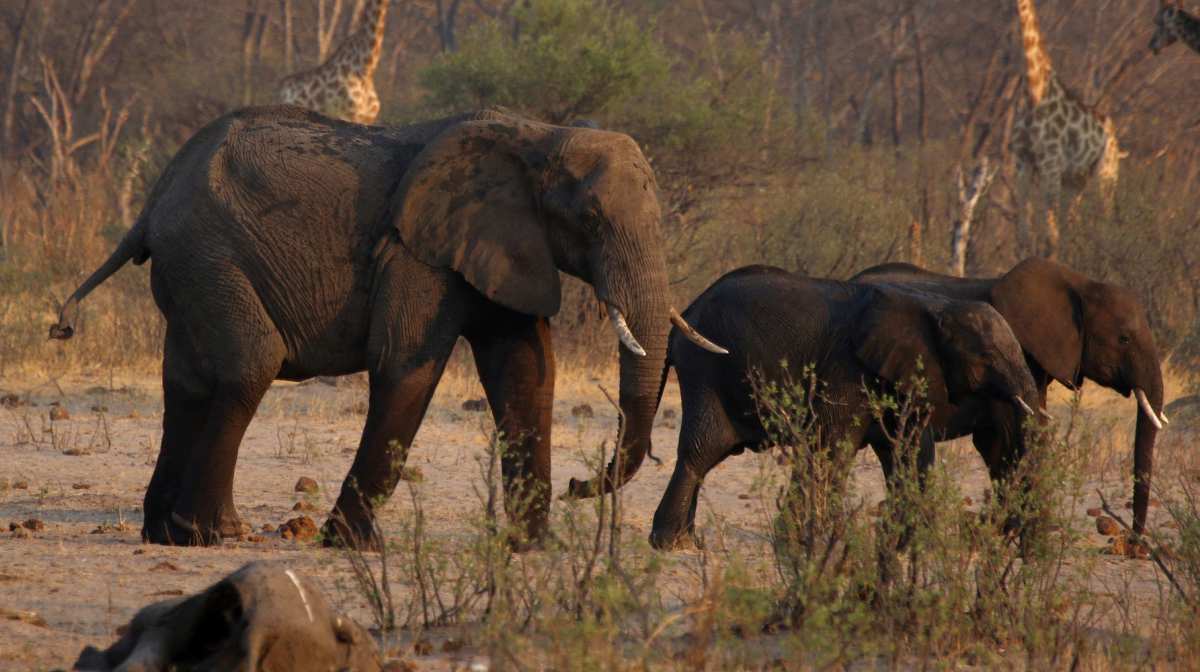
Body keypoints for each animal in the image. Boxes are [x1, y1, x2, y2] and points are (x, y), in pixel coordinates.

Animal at [49, 105, 723, 548]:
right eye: (590, 219)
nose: (583, 485)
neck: (539, 134)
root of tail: (151, 203)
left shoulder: (504, 245)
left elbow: (526, 374)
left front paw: (532, 550)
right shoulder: (417, 252)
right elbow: (407, 368)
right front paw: (349, 546)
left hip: (191, 267)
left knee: (186, 382)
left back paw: (164, 534)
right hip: (208, 255)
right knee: (247, 367)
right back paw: (215, 535)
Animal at [649, 266, 1041, 550]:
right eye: (988, 357)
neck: (932, 306)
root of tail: (684, 312)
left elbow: (908, 451)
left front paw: (907, 544)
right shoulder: (846, 369)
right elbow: (833, 447)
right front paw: (811, 542)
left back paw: (686, 541)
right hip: (706, 367)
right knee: (702, 450)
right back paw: (673, 545)